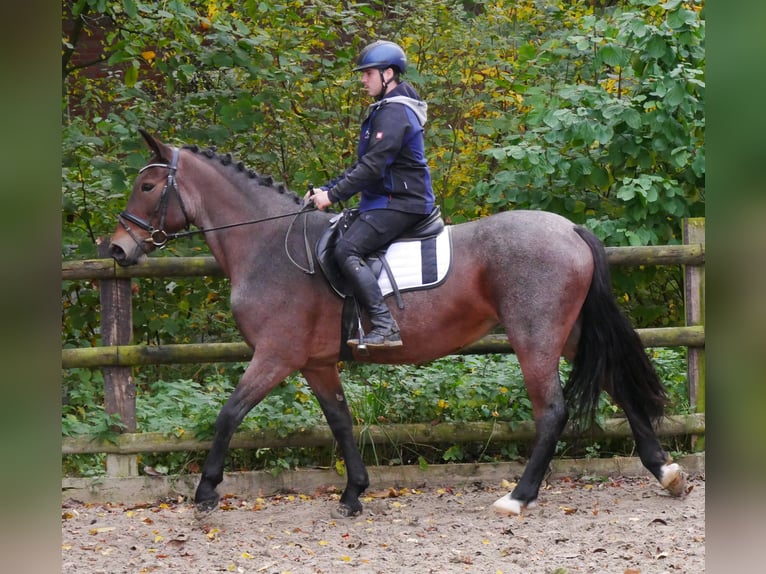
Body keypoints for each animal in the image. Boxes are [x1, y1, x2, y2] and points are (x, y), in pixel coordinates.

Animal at [105, 130, 688, 516]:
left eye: (149, 187)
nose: (115, 248)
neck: (269, 244)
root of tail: (568, 228)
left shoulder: (275, 356)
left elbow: (229, 414)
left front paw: (206, 491)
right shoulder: (316, 363)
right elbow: (340, 422)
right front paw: (354, 492)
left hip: (535, 338)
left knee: (553, 411)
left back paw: (518, 498)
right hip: (567, 335)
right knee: (617, 386)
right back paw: (666, 472)